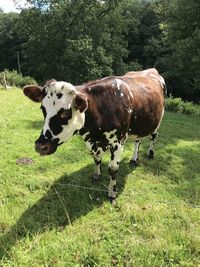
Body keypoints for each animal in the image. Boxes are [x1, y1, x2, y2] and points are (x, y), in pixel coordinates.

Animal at [24, 68, 166, 204]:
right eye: (43, 109)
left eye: (65, 113)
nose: (41, 146)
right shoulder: (93, 143)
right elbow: (97, 159)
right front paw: (97, 175)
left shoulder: (118, 142)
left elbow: (113, 169)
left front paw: (112, 193)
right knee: (138, 140)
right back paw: (134, 158)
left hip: (157, 121)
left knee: (153, 137)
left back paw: (150, 154)